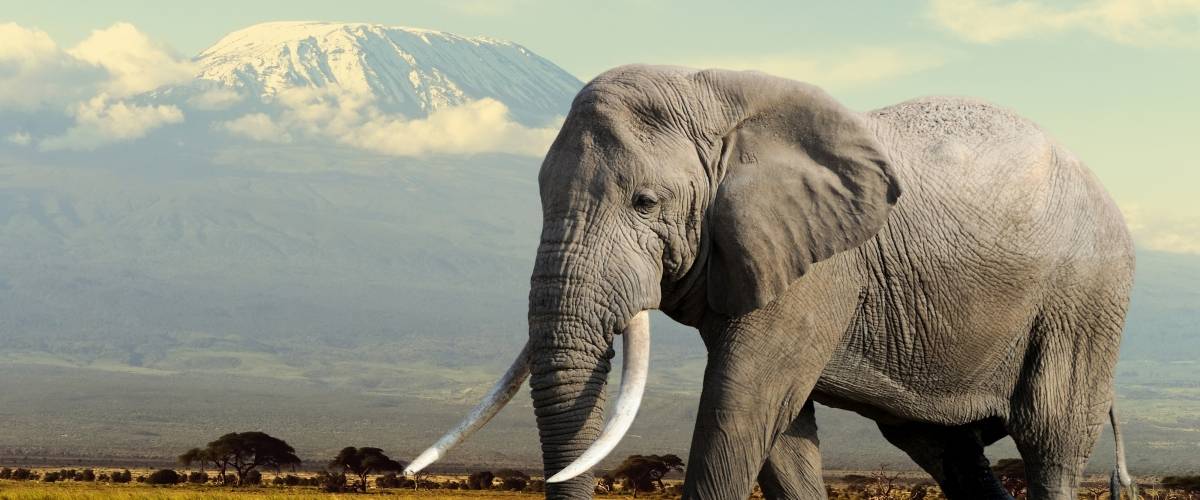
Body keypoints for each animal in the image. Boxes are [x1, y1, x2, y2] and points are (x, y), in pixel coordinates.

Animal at [404, 65, 1137, 500]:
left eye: (644, 202)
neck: (713, 95)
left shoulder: (818, 266)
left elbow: (742, 403)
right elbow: (780, 434)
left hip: (1085, 299)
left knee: (1050, 443)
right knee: (944, 447)